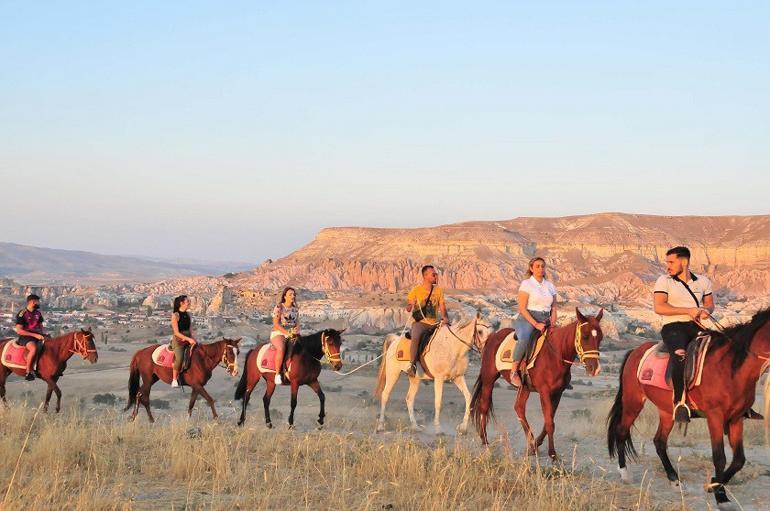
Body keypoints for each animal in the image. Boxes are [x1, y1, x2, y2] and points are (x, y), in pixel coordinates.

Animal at [464, 308, 604, 460]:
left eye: (600, 338)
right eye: (585, 336)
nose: (594, 369)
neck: (554, 355)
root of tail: (492, 336)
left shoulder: (557, 393)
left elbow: (548, 421)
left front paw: (536, 445)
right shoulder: (544, 392)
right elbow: (549, 423)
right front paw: (553, 454)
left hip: (524, 387)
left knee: (519, 408)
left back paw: (530, 442)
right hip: (489, 379)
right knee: (484, 406)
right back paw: (485, 441)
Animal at [608, 308, 768, 511]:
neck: (730, 369)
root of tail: (635, 351)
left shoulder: (736, 418)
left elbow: (739, 459)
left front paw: (714, 484)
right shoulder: (715, 417)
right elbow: (720, 458)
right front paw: (719, 495)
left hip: (668, 412)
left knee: (659, 441)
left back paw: (674, 479)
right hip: (633, 402)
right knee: (621, 431)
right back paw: (625, 474)